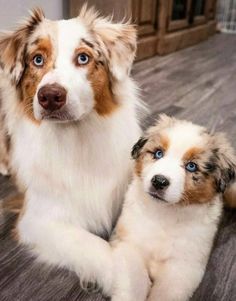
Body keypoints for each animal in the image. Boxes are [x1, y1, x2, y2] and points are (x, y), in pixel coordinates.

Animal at [0, 5, 141, 292]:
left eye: (83, 58)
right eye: (38, 60)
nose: (50, 97)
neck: (75, 136)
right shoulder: (36, 219)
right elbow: (97, 247)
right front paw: (125, 283)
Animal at [111, 113, 236, 298]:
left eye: (191, 166)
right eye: (158, 153)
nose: (159, 181)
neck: (164, 214)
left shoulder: (183, 267)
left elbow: (166, 293)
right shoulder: (128, 243)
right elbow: (134, 281)